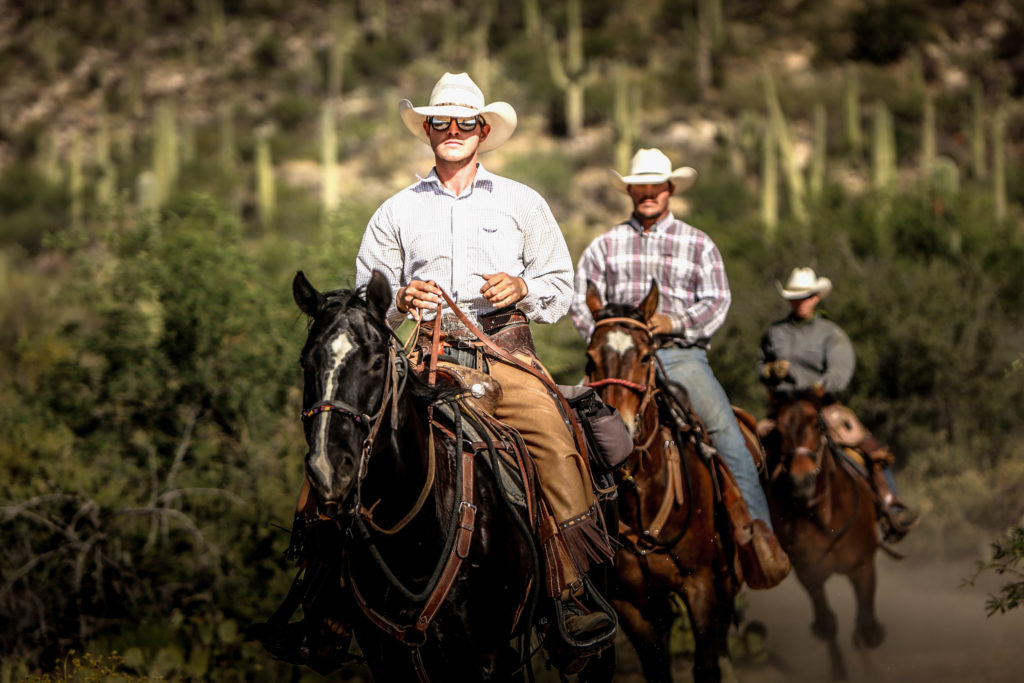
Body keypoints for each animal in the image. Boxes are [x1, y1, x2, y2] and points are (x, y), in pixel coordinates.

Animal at [581, 282, 741, 683]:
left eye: (645, 356)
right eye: (591, 358)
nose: (619, 429)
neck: (643, 489)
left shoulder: (700, 585)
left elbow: (706, 665)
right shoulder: (631, 605)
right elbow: (657, 669)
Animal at [765, 397, 884, 679]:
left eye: (817, 426)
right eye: (779, 431)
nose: (801, 481)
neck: (825, 519)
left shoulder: (863, 566)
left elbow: (867, 626)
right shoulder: (809, 574)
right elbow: (828, 623)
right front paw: (839, 672)